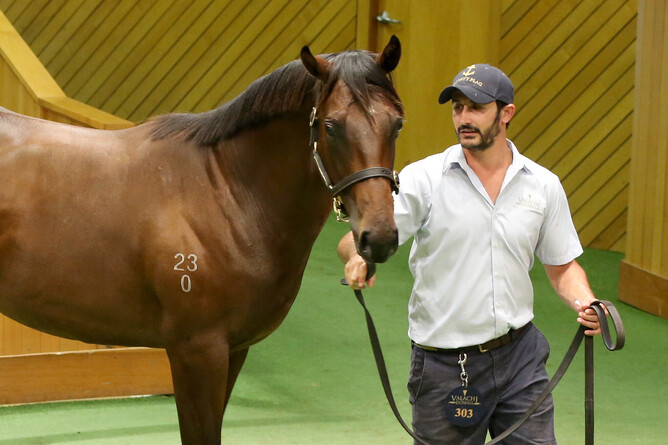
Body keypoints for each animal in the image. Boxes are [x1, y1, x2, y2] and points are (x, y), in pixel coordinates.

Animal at [0, 36, 403, 444]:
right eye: (331, 126)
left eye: (397, 124)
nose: (379, 237)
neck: (227, 193)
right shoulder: (196, 351)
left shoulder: (235, 350)